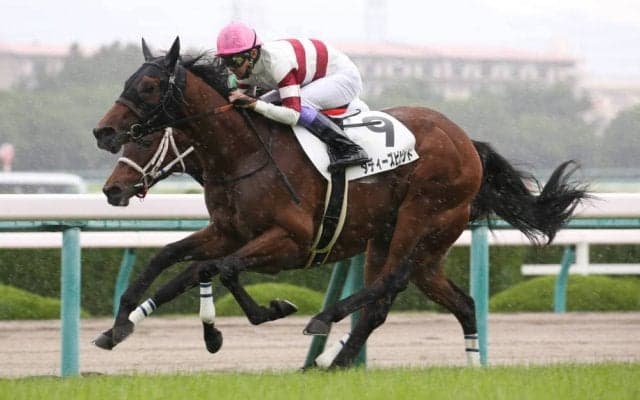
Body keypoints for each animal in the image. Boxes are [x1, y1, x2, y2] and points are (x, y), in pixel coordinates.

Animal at [92, 37, 587, 368]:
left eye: (150, 88)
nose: (103, 132)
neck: (244, 154)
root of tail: (467, 142)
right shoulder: (228, 231)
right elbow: (172, 260)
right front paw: (120, 325)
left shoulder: (291, 240)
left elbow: (220, 269)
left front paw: (266, 313)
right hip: (408, 242)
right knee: (440, 300)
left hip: (423, 217)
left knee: (389, 282)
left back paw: (324, 327)